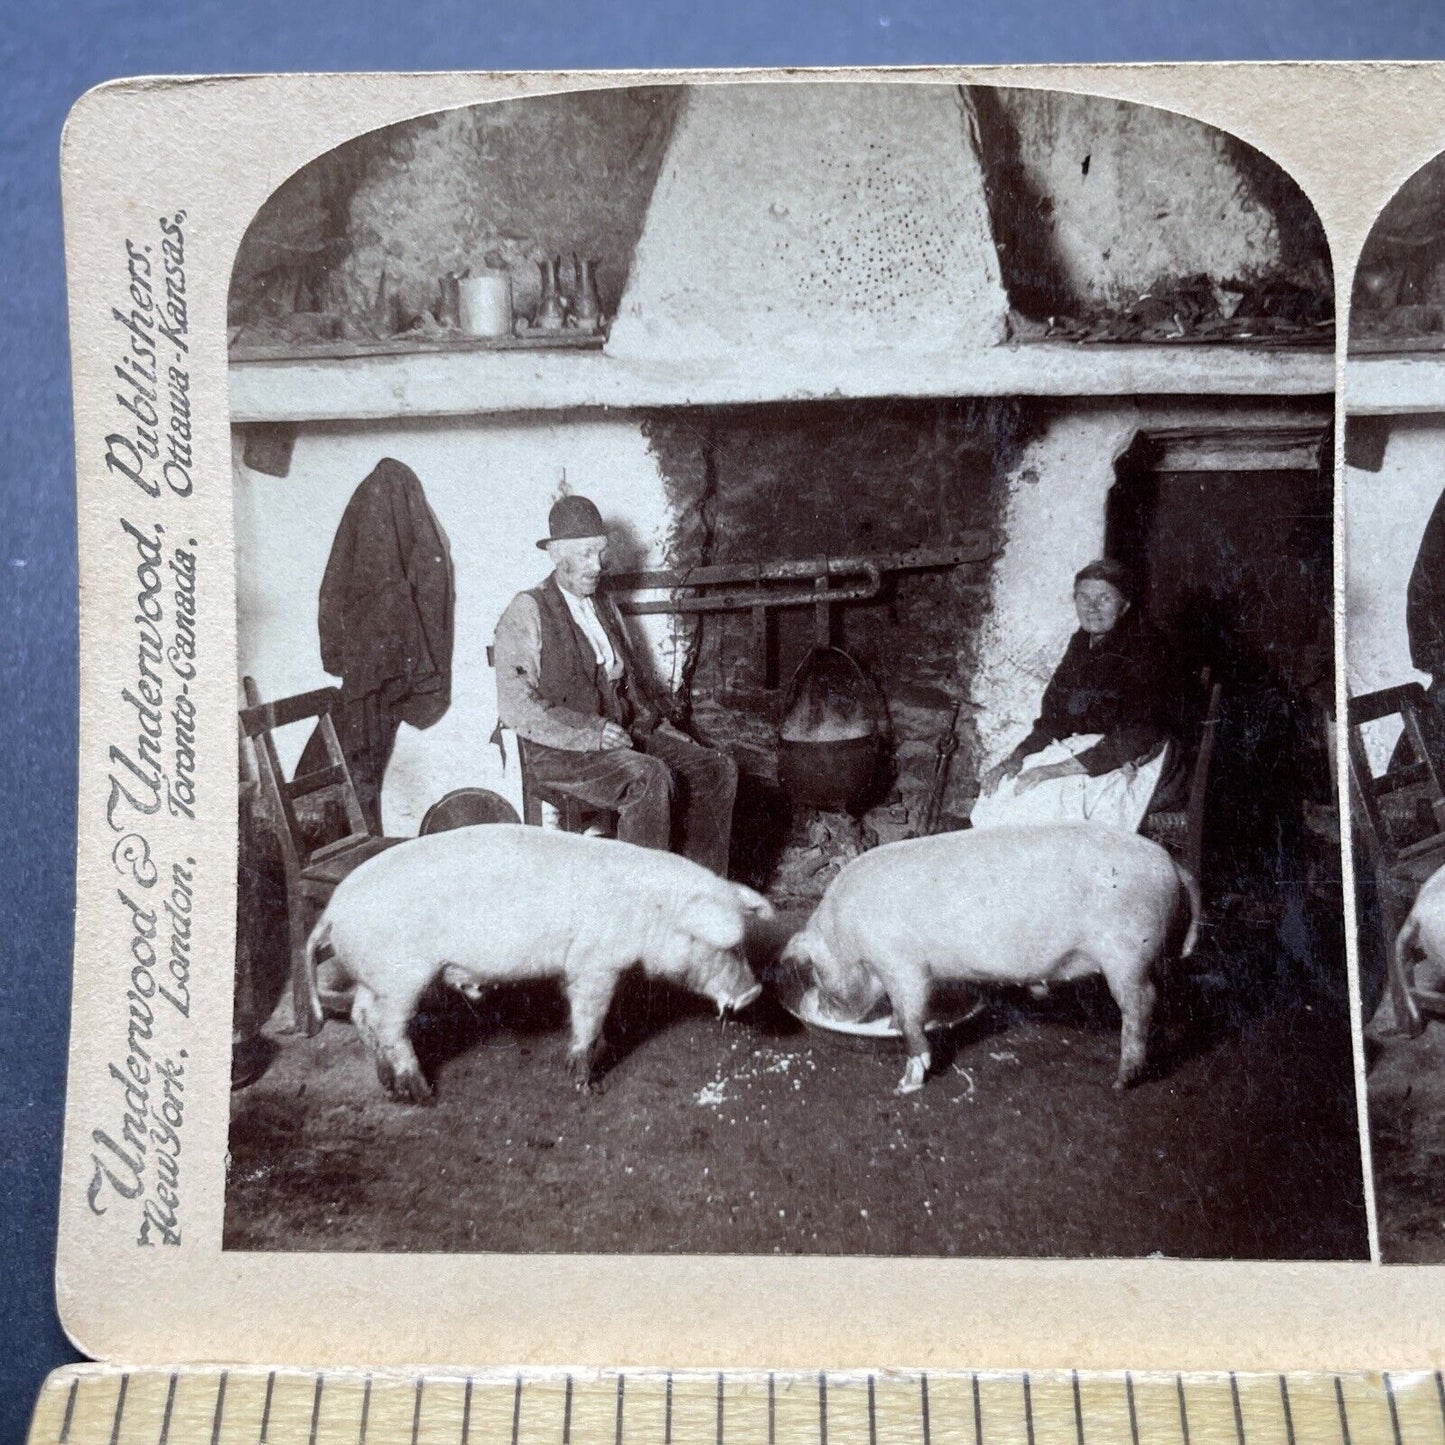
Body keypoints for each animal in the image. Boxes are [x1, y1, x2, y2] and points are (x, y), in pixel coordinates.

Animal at [304, 826, 774, 1103]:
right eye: (728, 947)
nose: (755, 992)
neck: (654, 913)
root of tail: (332, 910)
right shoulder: (596, 963)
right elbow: (589, 1017)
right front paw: (590, 1086)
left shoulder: (583, 966)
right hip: (400, 978)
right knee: (389, 1027)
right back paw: (423, 1094)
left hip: (374, 978)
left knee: (361, 1014)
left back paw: (387, 1083)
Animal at [786, 826, 1202, 1092]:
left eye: (817, 973)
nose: (823, 1011)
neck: (846, 931)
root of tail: (1175, 865)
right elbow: (905, 1012)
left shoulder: (904, 964)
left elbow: (912, 1017)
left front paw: (906, 1085)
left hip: (1127, 954)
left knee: (1141, 1004)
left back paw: (1120, 1082)